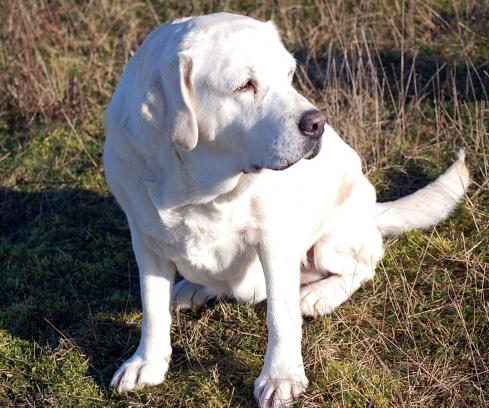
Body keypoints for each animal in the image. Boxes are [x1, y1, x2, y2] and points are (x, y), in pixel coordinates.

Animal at [104, 12, 468, 408]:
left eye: (289, 73)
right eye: (245, 85)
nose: (317, 123)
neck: (200, 187)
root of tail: (374, 211)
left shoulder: (275, 239)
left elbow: (281, 315)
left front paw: (281, 376)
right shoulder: (145, 239)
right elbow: (152, 307)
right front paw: (147, 363)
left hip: (333, 239)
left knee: (365, 265)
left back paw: (320, 295)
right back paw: (192, 289)